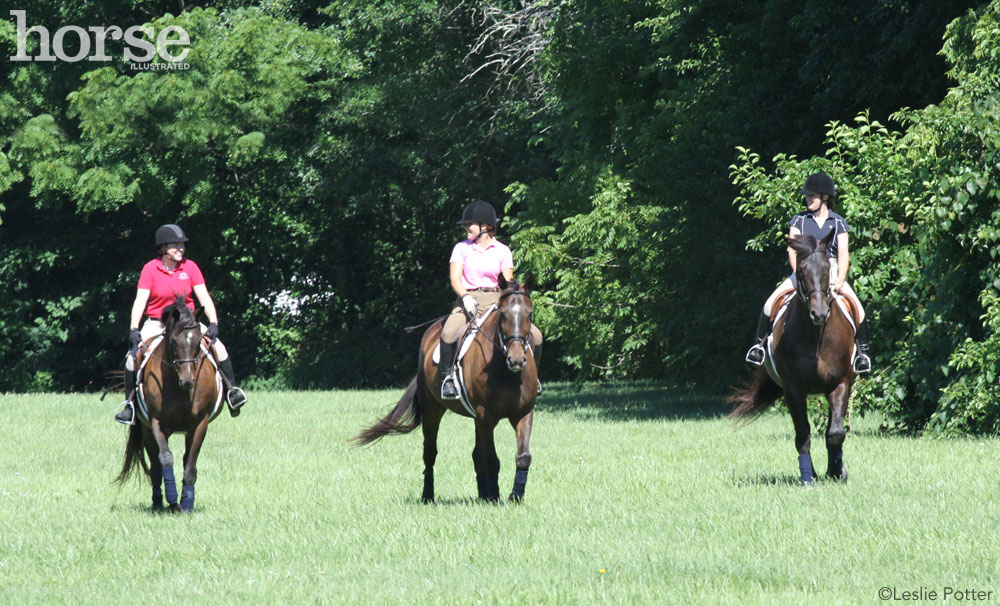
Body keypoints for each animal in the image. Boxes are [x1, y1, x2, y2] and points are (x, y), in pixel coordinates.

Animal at [115, 296, 223, 516]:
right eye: (174, 341)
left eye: (198, 341)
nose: (188, 381)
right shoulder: (156, 423)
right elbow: (165, 459)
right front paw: (173, 502)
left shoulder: (199, 425)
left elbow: (190, 465)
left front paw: (187, 504)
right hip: (147, 430)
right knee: (156, 467)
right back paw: (158, 502)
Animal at [354, 276, 540, 504]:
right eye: (503, 314)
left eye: (529, 314)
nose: (516, 360)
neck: (505, 371)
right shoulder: (485, 415)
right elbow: (492, 460)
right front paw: (494, 497)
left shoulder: (523, 413)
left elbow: (522, 457)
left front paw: (515, 497)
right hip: (433, 410)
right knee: (430, 453)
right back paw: (428, 495)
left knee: (476, 454)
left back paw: (481, 494)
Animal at [732, 235, 856, 486]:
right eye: (801, 270)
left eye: (828, 268)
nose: (819, 313)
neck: (816, 338)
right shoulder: (793, 388)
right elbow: (803, 434)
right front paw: (808, 477)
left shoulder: (840, 384)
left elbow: (835, 434)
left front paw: (837, 472)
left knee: (832, 429)